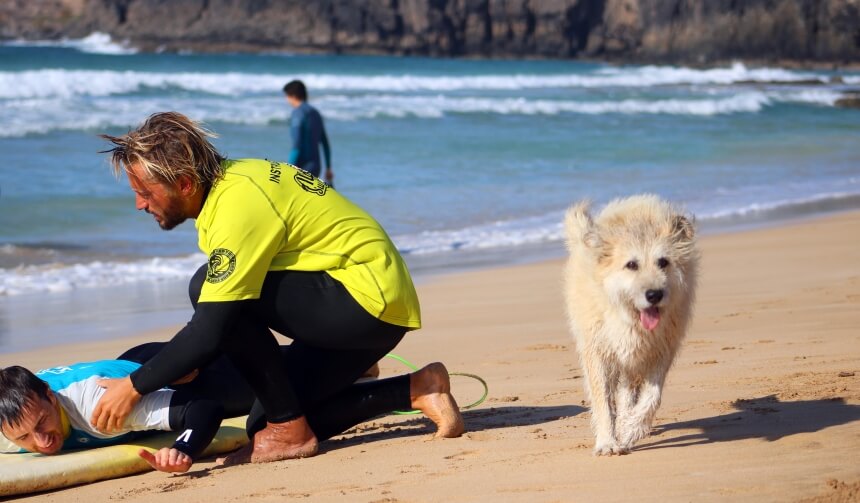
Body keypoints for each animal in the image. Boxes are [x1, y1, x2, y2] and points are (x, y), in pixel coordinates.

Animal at [564, 195, 700, 454]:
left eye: (663, 262)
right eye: (631, 265)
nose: (654, 295)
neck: (629, 317)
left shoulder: (660, 351)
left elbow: (653, 396)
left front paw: (630, 429)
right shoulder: (598, 352)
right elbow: (603, 400)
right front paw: (607, 441)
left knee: (628, 392)